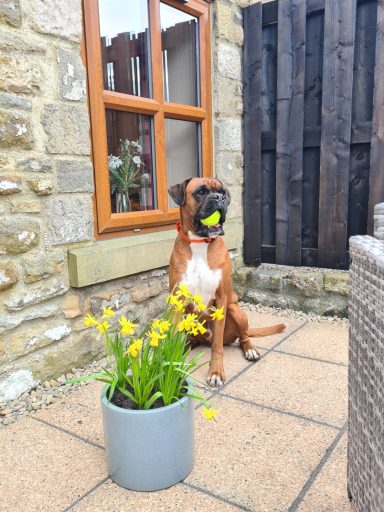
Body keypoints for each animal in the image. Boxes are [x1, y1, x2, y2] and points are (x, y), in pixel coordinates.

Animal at [168, 177, 284, 388]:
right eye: (200, 192)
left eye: (222, 191)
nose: (219, 198)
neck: (200, 244)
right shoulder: (177, 300)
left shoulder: (221, 298)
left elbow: (217, 346)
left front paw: (215, 372)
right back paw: (188, 344)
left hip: (236, 310)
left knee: (242, 337)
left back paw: (250, 350)